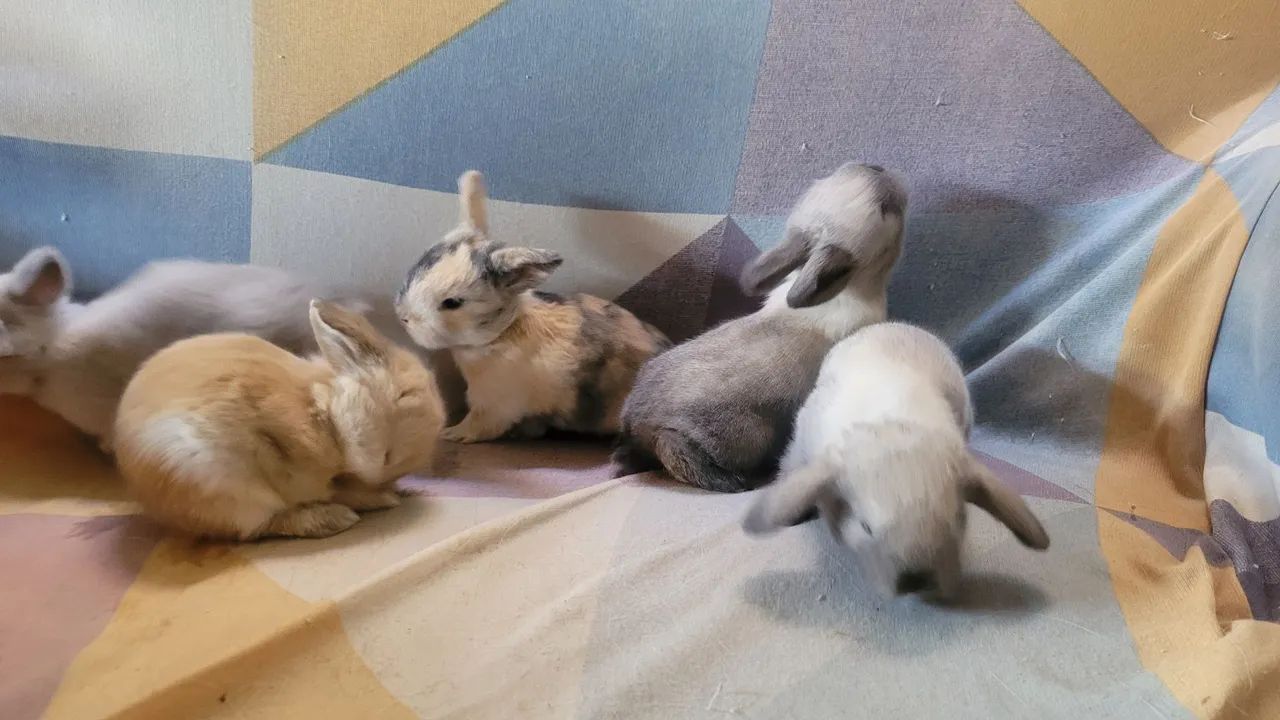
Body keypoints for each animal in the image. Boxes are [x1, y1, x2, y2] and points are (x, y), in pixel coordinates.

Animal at [112, 300, 445, 540]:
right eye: (403, 394)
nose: (388, 467)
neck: (325, 412)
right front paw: (383, 499)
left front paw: (392, 493)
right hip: (223, 491)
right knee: (258, 527)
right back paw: (335, 520)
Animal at [395, 170, 670, 443]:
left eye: (453, 302)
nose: (404, 317)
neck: (503, 333)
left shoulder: (492, 406)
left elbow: (476, 426)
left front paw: (450, 433)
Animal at [612, 163, 907, 493]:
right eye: (885, 208)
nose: (878, 167)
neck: (851, 287)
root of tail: (636, 423)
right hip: (748, 434)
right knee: (675, 450)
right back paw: (736, 481)